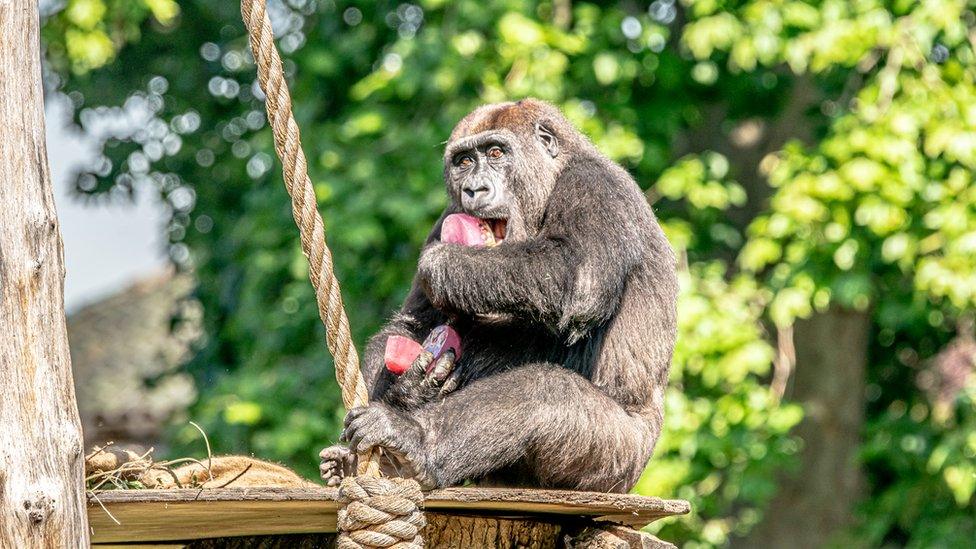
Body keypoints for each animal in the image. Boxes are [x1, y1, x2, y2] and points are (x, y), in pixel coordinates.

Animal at [316, 98, 676, 492]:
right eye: (463, 162)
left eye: (495, 153)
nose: (474, 190)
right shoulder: (447, 214)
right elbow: (408, 327)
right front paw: (409, 386)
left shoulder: (596, 186)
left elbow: (578, 276)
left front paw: (443, 264)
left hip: (622, 460)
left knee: (544, 393)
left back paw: (413, 442)